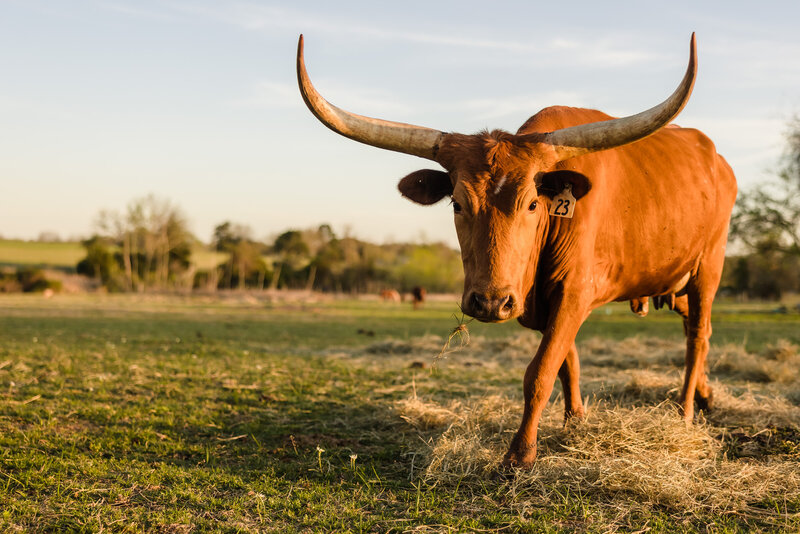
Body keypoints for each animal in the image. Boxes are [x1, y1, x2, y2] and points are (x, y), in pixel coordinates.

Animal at [298, 33, 736, 472]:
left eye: (532, 204)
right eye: (456, 203)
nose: (491, 302)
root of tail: (718, 161)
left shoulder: (574, 291)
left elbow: (540, 371)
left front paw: (520, 454)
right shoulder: (543, 299)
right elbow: (566, 363)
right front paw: (575, 423)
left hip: (708, 268)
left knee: (697, 336)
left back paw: (684, 412)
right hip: (672, 277)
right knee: (699, 325)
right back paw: (705, 395)